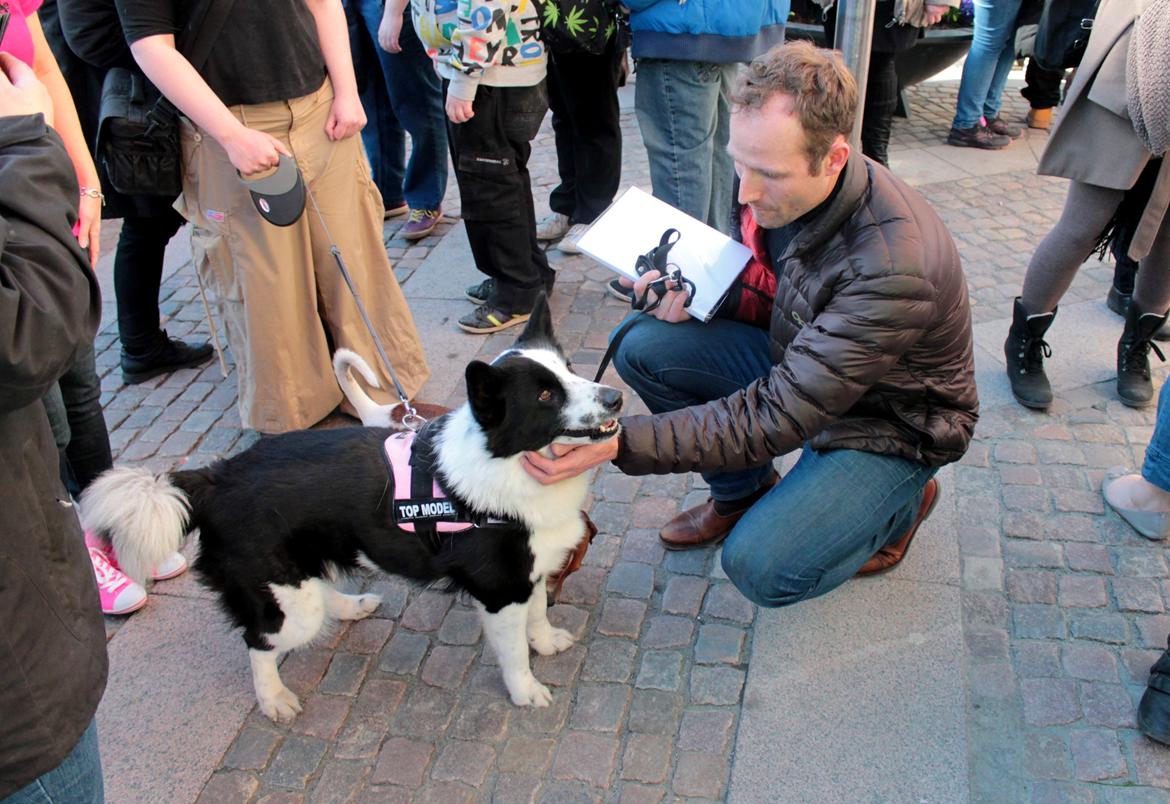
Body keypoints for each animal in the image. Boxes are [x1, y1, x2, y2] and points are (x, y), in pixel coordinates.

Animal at [80, 297, 622, 725]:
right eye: (546, 394)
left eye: (570, 368)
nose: (616, 396)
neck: (504, 461)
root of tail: (215, 477)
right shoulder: (500, 591)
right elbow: (513, 652)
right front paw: (526, 691)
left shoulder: (530, 573)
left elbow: (537, 617)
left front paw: (545, 642)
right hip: (282, 604)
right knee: (260, 641)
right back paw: (273, 698)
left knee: (315, 591)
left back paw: (348, 606)